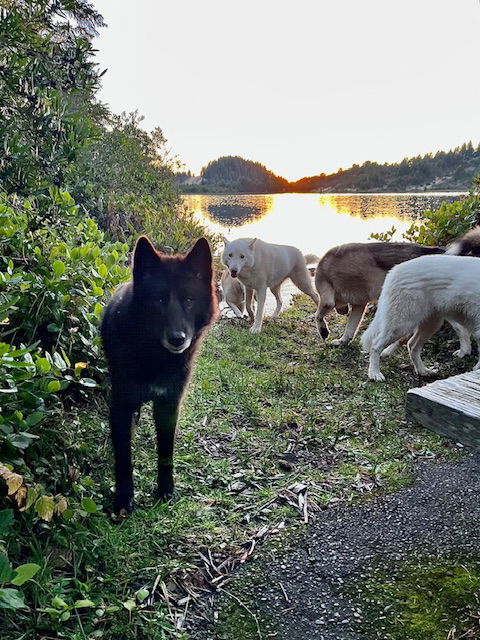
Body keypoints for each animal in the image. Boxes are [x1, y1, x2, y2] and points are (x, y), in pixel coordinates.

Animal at [101, 236, 218, 516]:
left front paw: (166, 491)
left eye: (189, 300)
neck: (154, 356)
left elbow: (166, 452)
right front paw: (124, 499)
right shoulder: (120, 405)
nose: (177, 339)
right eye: (160, 300)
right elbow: (123, 458)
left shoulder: (168, 405)